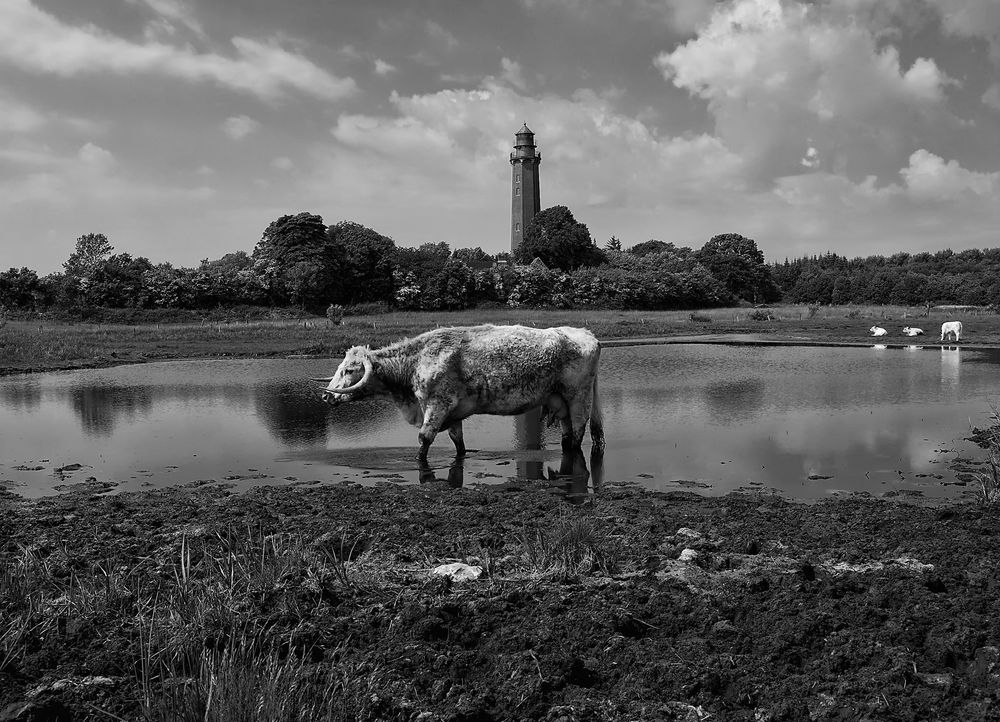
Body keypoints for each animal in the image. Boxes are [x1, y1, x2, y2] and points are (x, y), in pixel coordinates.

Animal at [316, 324, 604, 458]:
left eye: (349, 370)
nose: (326, 395)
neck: (418, 359)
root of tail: (587, 334)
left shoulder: (437, 405)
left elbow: (424, 439)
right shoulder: (453, 414)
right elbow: (459, 444)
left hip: (578, 398)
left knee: (578, 431)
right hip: (559, 401)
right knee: (567, 434)